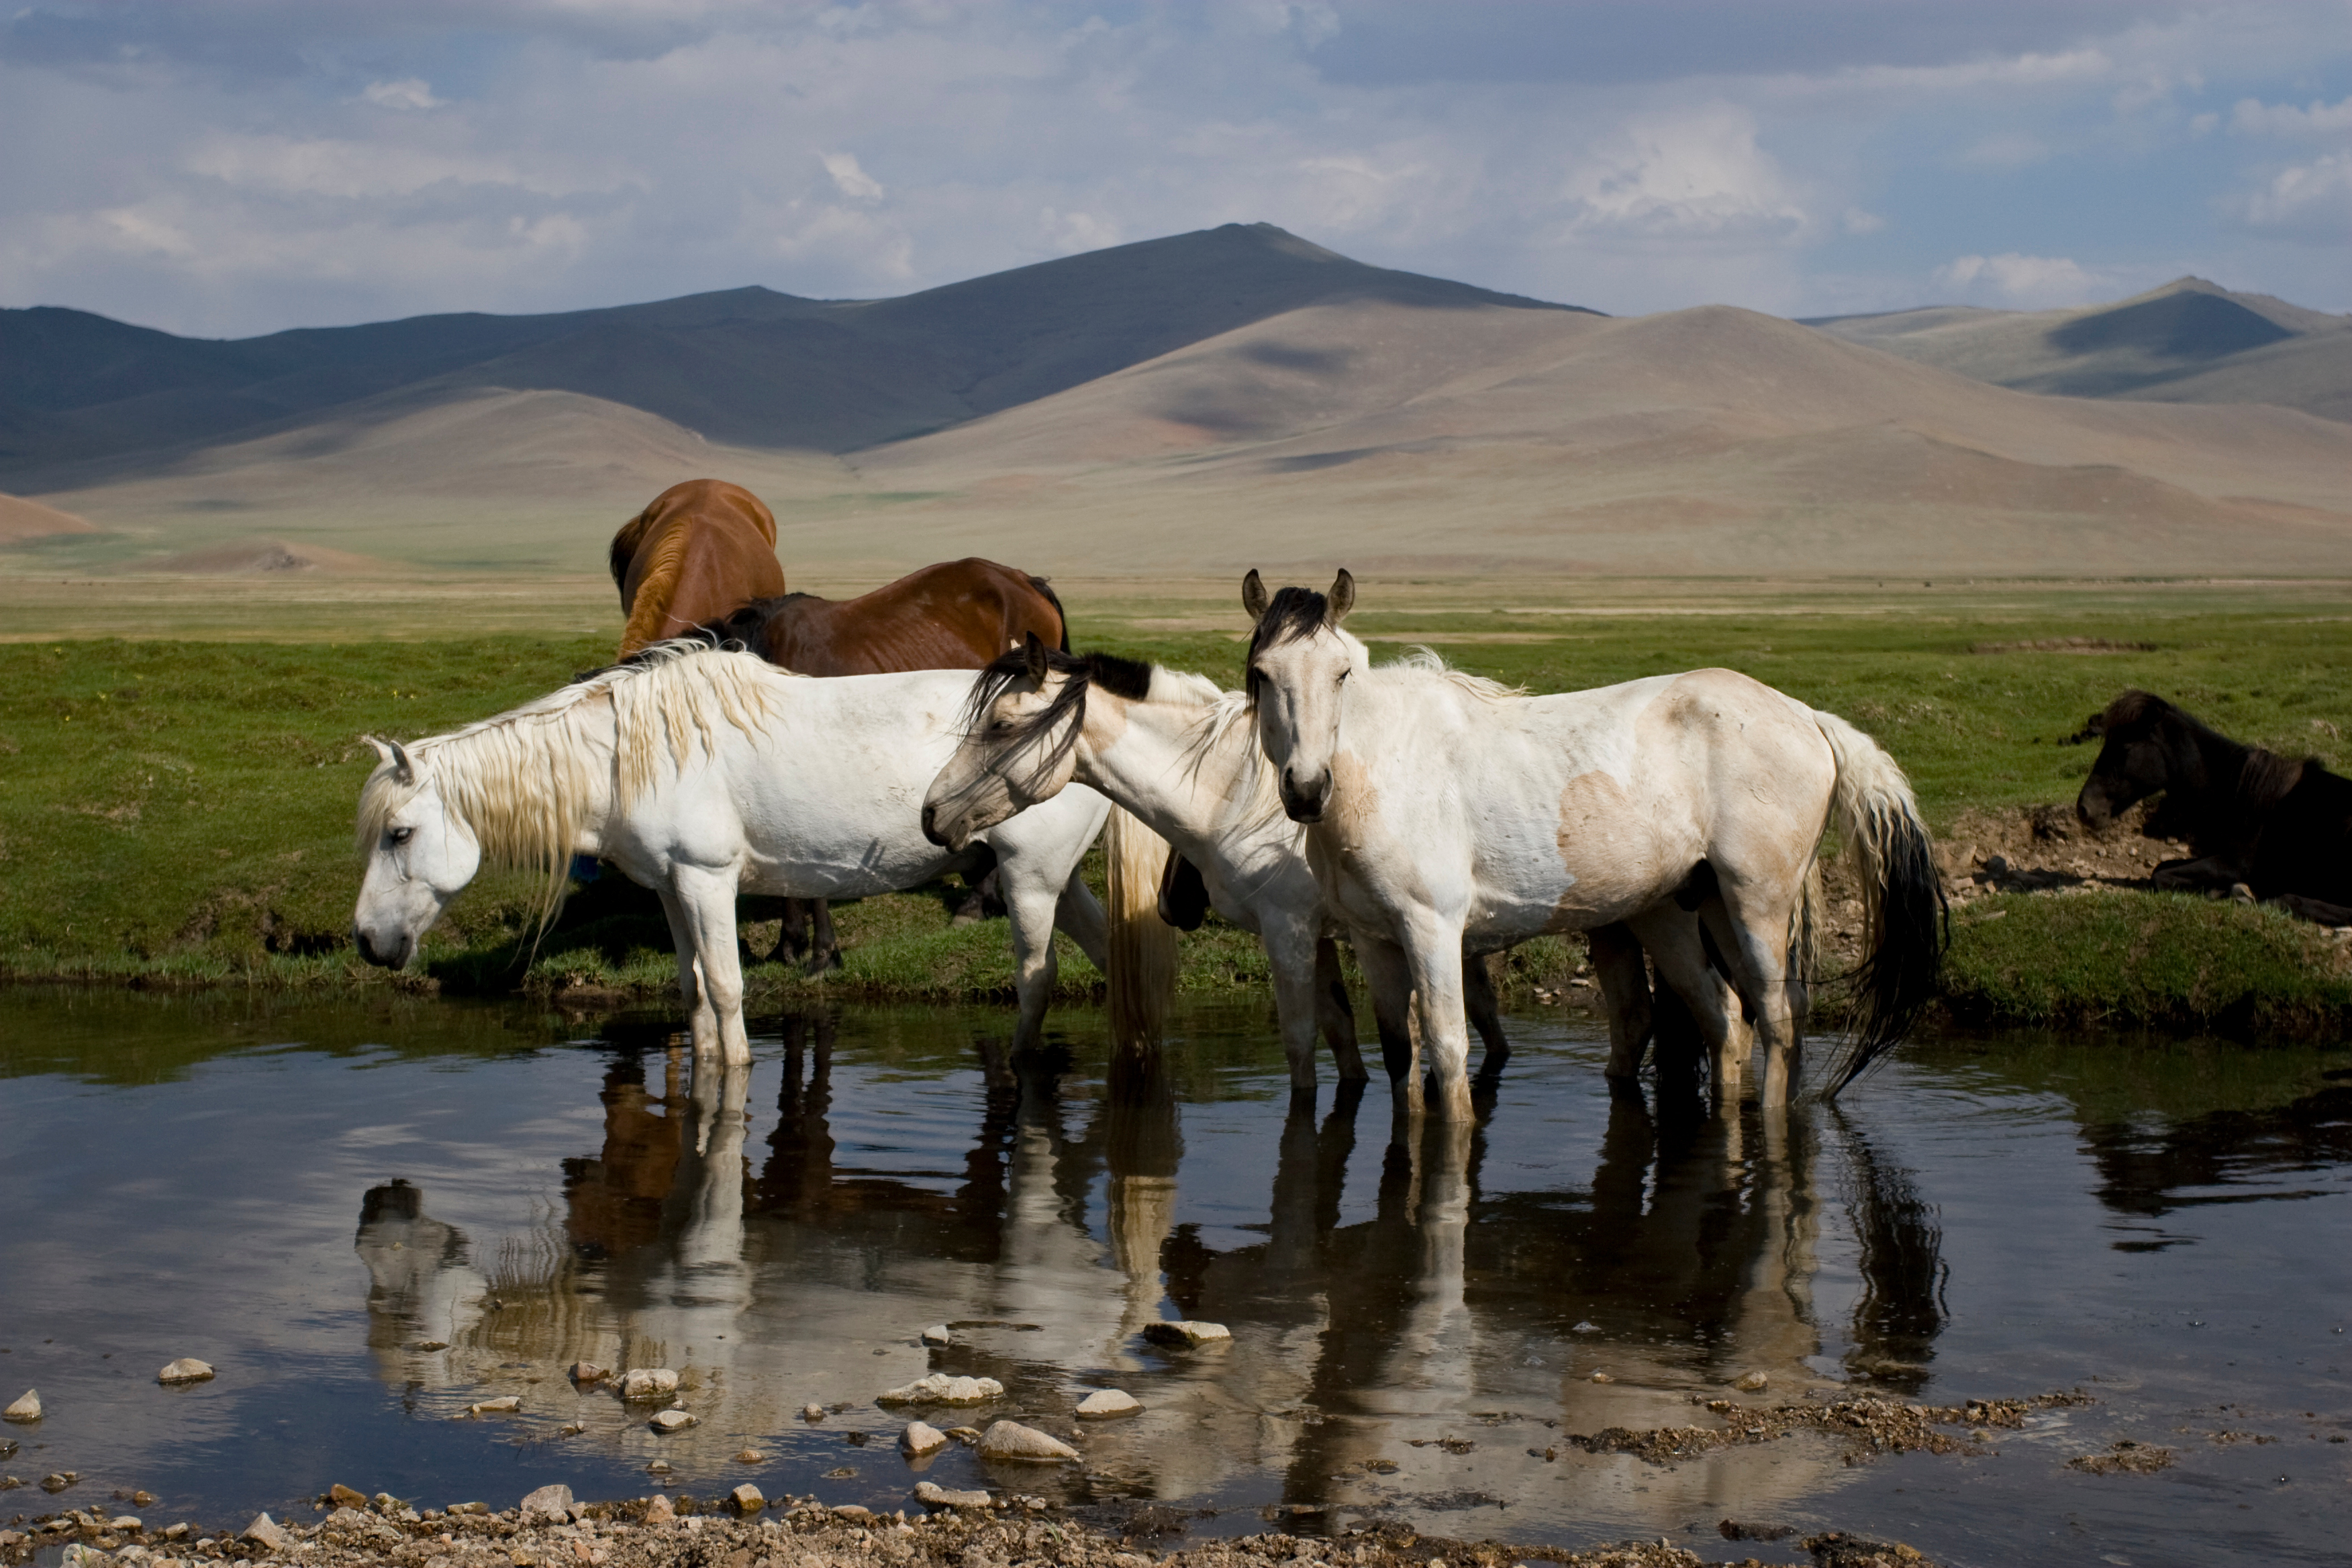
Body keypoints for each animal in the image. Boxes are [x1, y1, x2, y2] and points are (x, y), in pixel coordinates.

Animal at [351, 643, 1118, 1063]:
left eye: (399, 834)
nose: (366, 941)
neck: (627, 759)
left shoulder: (708, 880)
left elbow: (725, 990)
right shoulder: (673, 889)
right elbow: (693, 990)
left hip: (1029, 880)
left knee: (1036, 981)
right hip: (1059, 881)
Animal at [921, 639, 1535, 1095]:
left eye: (1001, 725)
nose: (932, 814)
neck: (1236, 791)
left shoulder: (1290, 927)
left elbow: (1307, 1046)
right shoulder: (1323, 936)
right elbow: (1342, 1035)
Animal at [1241, 570, 1944, 1117]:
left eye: (1341, 674)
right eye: (1262, 674)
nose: (1307, 788)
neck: (1385, 772)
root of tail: (1808, 718)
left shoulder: (1432, 929)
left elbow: (1448, 1052)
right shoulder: (1375, 941)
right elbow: (1400, 1058)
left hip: (1757, 902)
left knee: (1777, 1017)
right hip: (1686, 907)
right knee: (1729, 1016)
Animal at [2073, 689, 2352, 923]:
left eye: (2125, 748)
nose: (2084, 809)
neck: (2240, 797)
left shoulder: (2233, 864)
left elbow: (2161, 877)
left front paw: (2225, 891)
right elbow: (2161, 867)